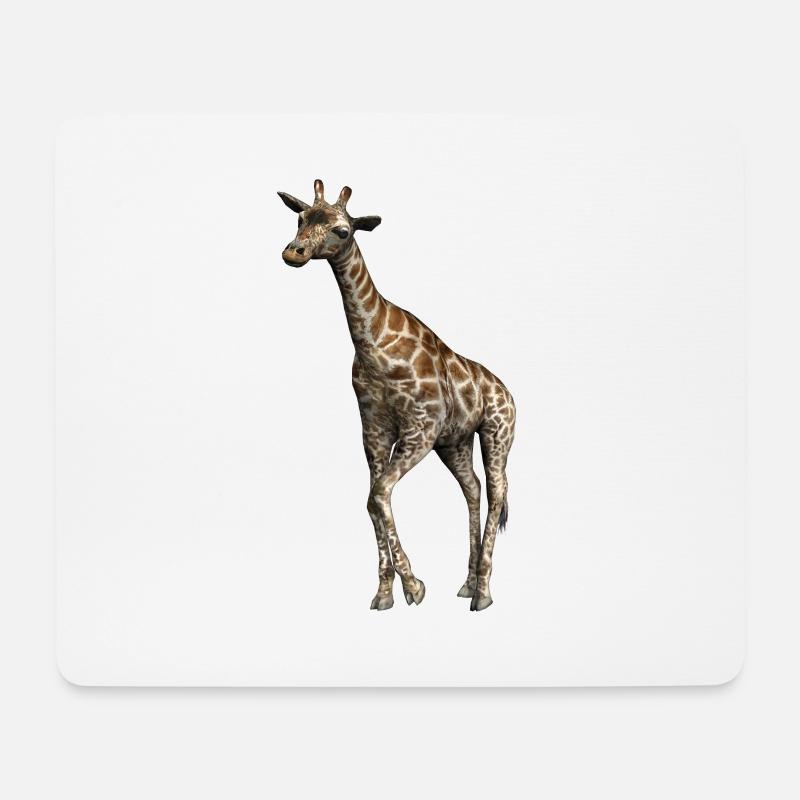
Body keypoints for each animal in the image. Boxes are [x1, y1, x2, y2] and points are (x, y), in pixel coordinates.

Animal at [279, 179, 516, 611]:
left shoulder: (419, 429)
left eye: (343, 230)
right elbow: (372, 500)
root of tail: (507, 391)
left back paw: (484, 595)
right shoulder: (374, 430)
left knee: (496, 491)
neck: (373, 347)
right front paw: (386, 593)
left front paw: (414, 587)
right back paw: (468, 584)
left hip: (496, 434)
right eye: (300, 217)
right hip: (455, 443)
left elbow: (380, 493)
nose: (293, 252)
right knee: (472, 488)